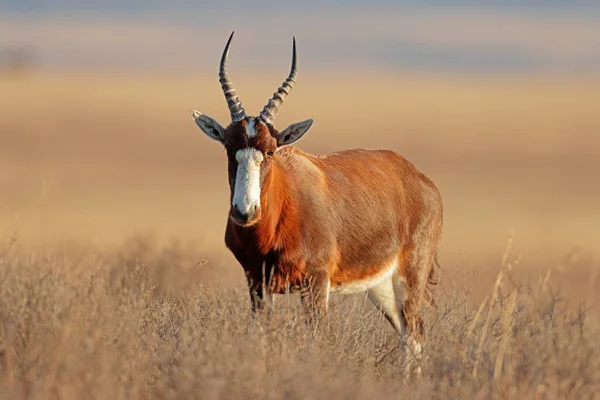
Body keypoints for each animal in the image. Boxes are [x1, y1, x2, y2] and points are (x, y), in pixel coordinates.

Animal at [190, 32, 442, 354]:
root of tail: (423, 182)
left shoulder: (316, 282)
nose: (245, 212)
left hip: (410, 276)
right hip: (380, 286)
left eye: (270, 150)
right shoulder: (257, 282)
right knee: (405, 333)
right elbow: (261, 338)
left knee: (414, 335)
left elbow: (316, 339)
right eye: (228, 147)